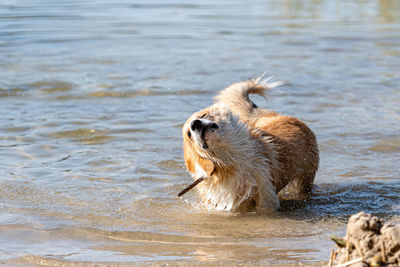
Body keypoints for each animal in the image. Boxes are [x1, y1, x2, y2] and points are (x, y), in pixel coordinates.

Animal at [181, 76, 318, 213]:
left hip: (304, 178)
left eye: (203, 115)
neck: (231, 160)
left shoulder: (265, 190)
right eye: (189, 134)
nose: (195, 124)